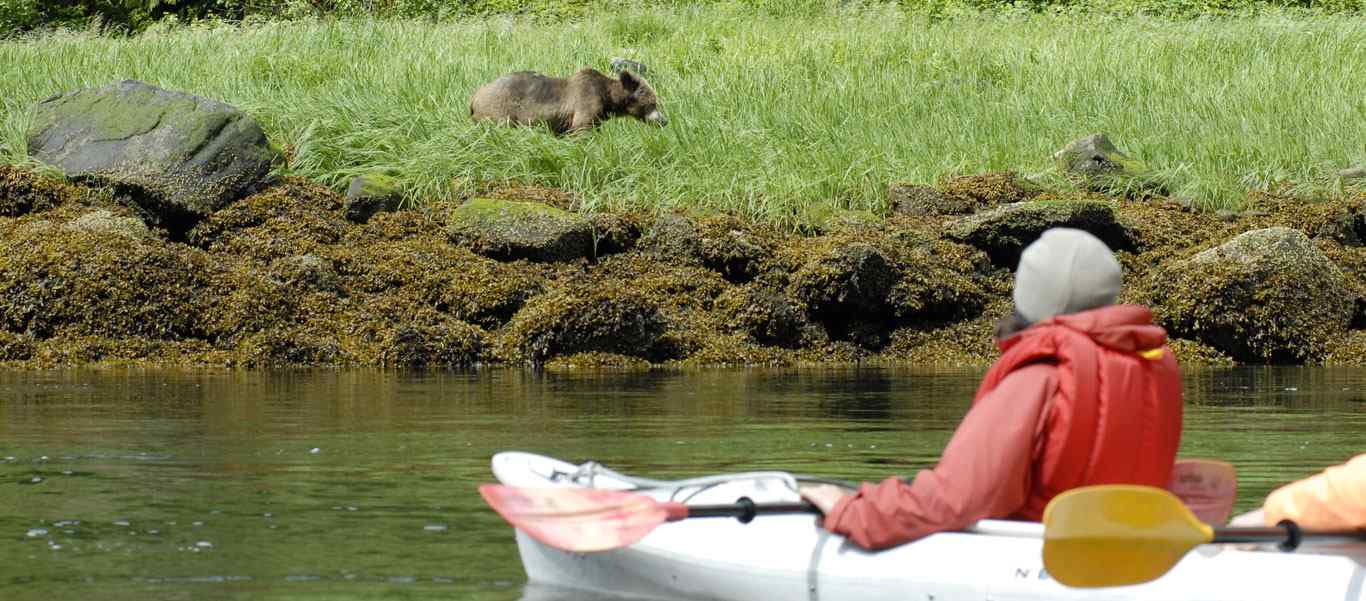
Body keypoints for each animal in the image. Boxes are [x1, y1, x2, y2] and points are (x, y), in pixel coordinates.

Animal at [469, 68, 666, 134]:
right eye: (653, 103)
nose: (664, 120)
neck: (607, 99)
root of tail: (474, 96)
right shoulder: (586, 102)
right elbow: (582, 128)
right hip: (500, 110)